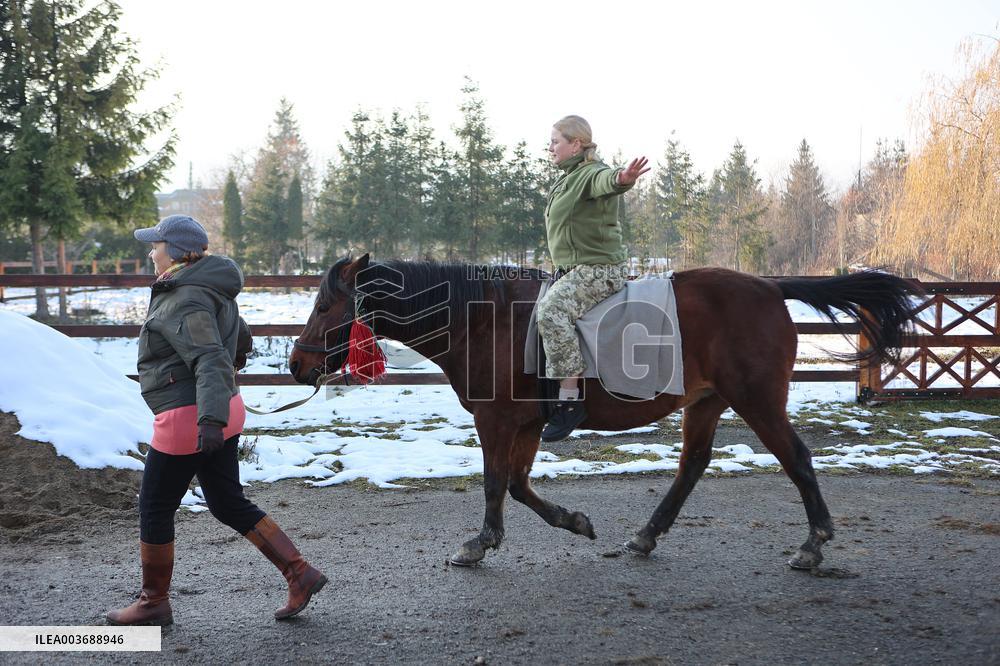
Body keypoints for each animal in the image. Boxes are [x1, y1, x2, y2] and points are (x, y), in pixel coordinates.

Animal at [288, 255, 919, 569]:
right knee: (692, 467)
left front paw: (480, 543)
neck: (481, 318)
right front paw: (573, 521)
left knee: (798, 459)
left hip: (758, 400)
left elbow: (494, 484)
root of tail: (768, 287)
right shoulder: (526, 425)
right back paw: (645, 537)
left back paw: (814, 543)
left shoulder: (496, 422)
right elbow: (517, 485)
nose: (296, 364)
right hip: (707, 402)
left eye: (323, 305)